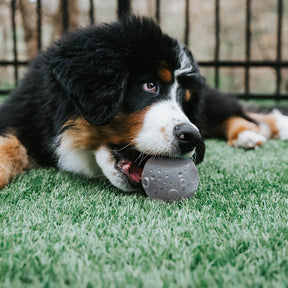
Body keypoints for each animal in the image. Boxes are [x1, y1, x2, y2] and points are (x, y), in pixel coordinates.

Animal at [0, 15, 288, 191]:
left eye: (184, 100)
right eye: (150, 85)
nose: (191, 137)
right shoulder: (24, 112)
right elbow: (10, 144)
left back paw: (250, 134)